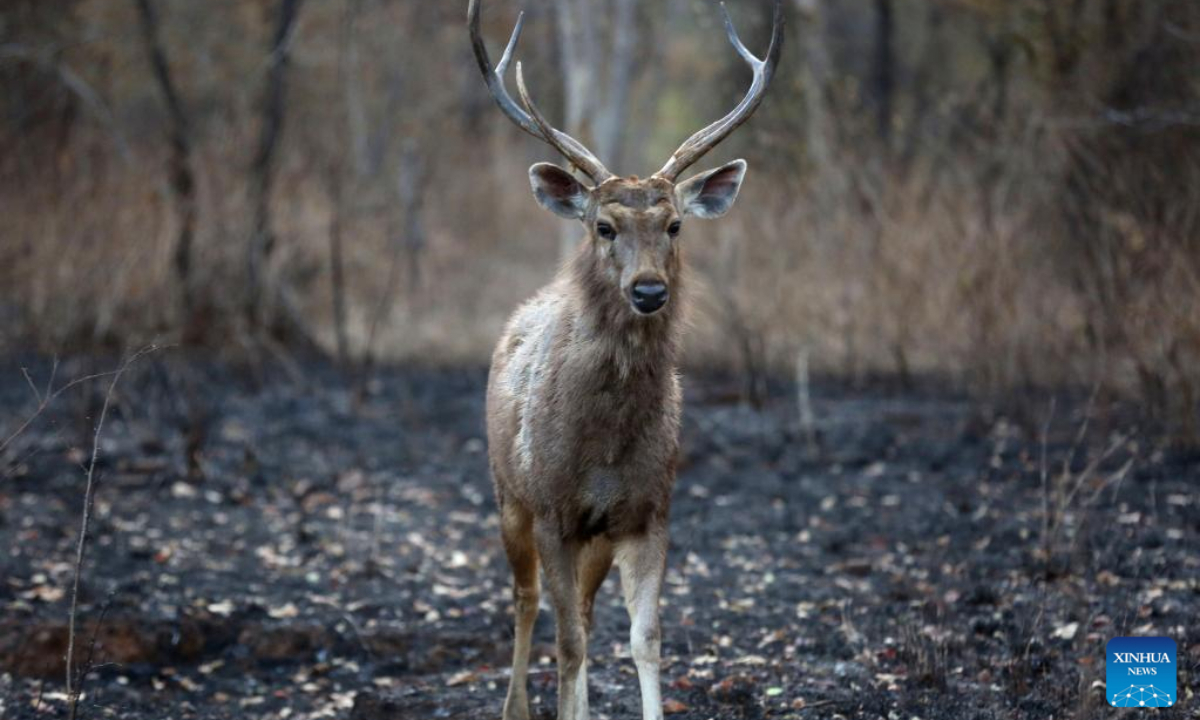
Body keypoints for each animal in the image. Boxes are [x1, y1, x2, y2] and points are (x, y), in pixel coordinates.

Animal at [468, 2, 787, 715]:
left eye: (675, 225)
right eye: (604, 226)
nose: (648, 290)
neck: (605, 446)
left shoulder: (648, 512)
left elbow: (645, 639)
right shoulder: (553, 510)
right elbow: (567, 645)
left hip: (595, 536)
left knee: (582, 613)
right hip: (507, 491)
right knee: (527, 600)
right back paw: (515, 705)